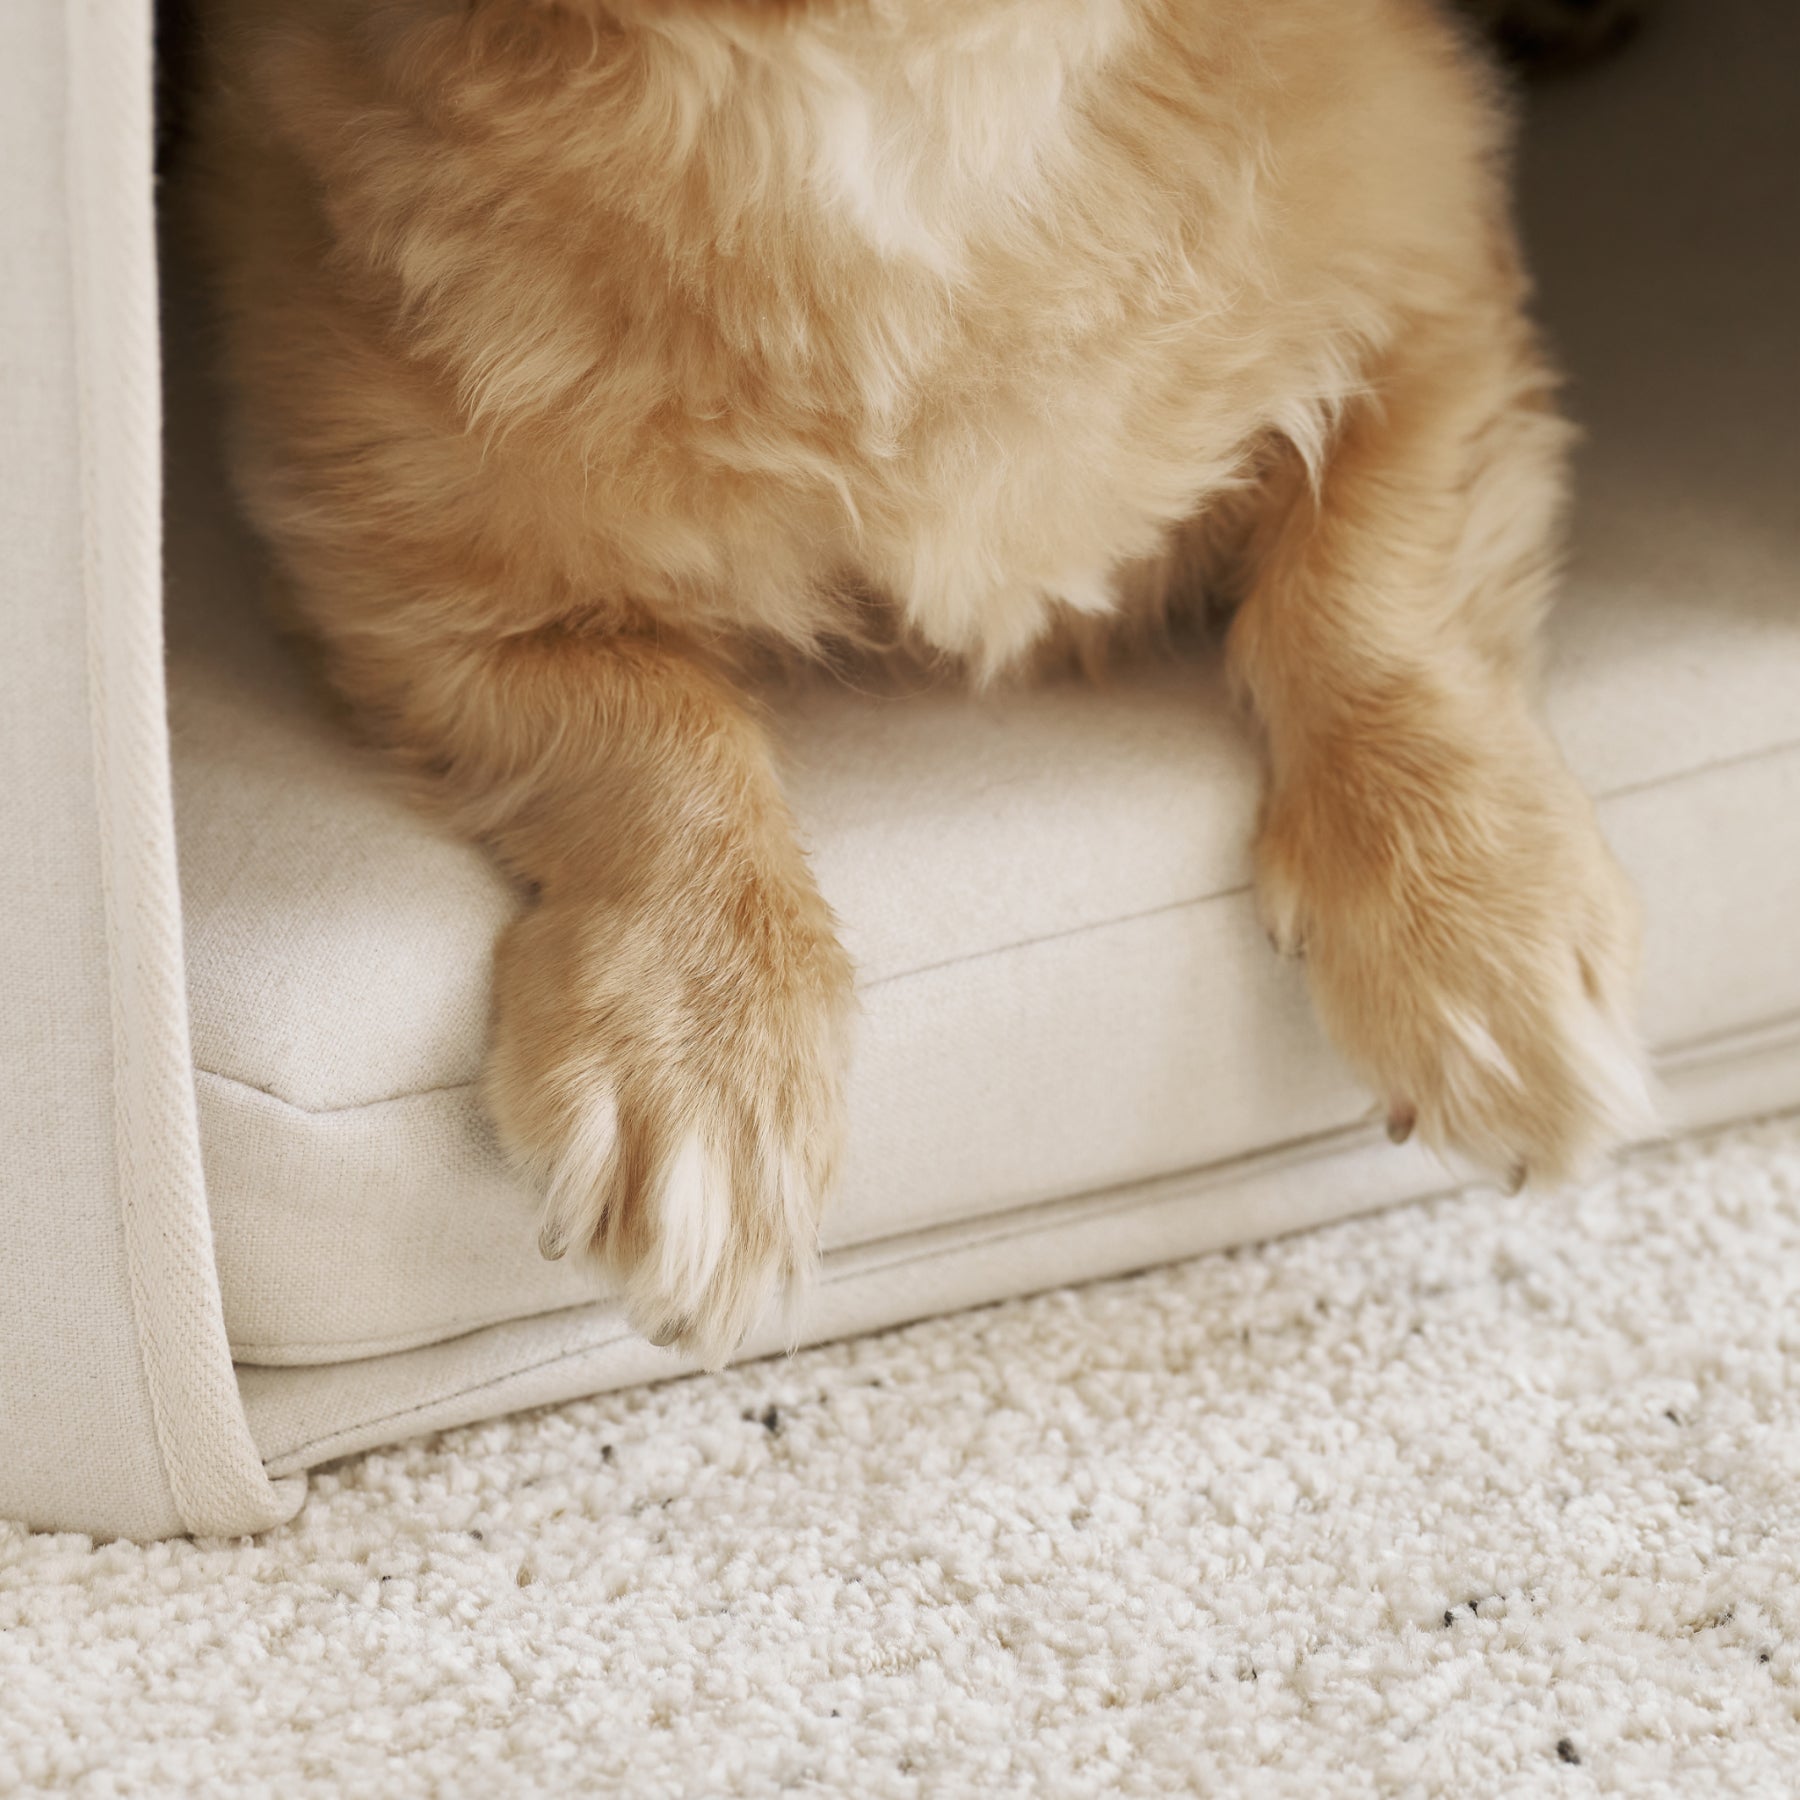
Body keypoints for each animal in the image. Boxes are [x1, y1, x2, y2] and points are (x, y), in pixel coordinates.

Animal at [189, 0, 1648, 1353]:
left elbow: (1367, 605)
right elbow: (655, 736)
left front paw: (1475, 941)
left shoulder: (1435, 285)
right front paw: (703, 1042)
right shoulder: (392, 563)